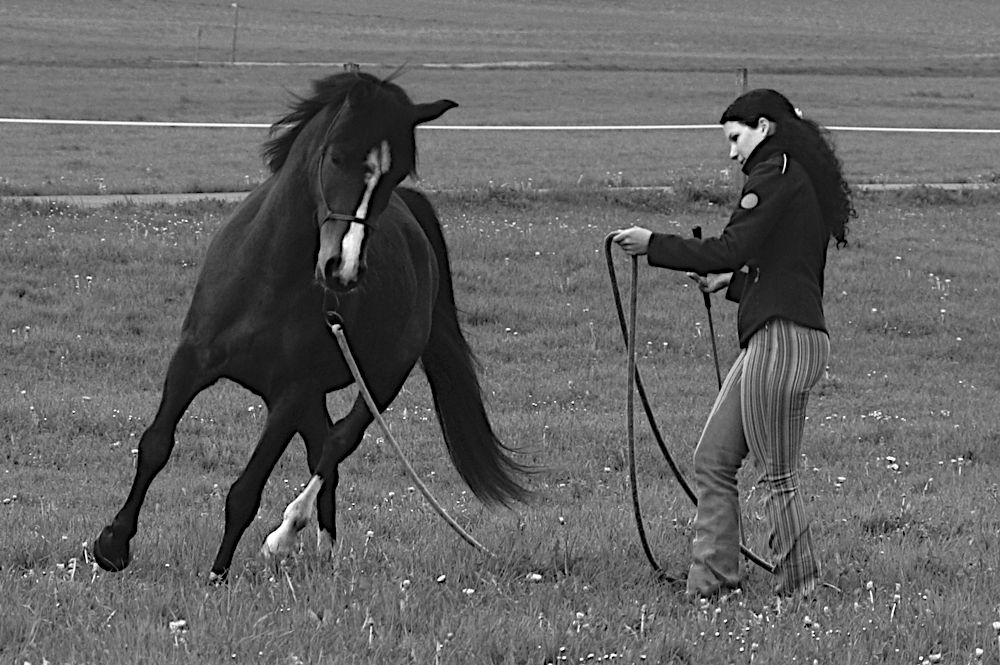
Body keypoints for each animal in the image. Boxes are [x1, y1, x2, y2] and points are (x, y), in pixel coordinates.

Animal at [92, 71, 532, 580]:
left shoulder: (292, 392)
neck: (267, 278)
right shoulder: (191, 362)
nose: (343, 268)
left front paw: (218, 574)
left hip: (378, 381)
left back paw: (287, 536)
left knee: (336, 445)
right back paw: (324, 549)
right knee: (322, 449)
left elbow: (246, 489)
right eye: (337, 155)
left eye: (396, 172)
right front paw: (113, 544)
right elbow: (156, 445)